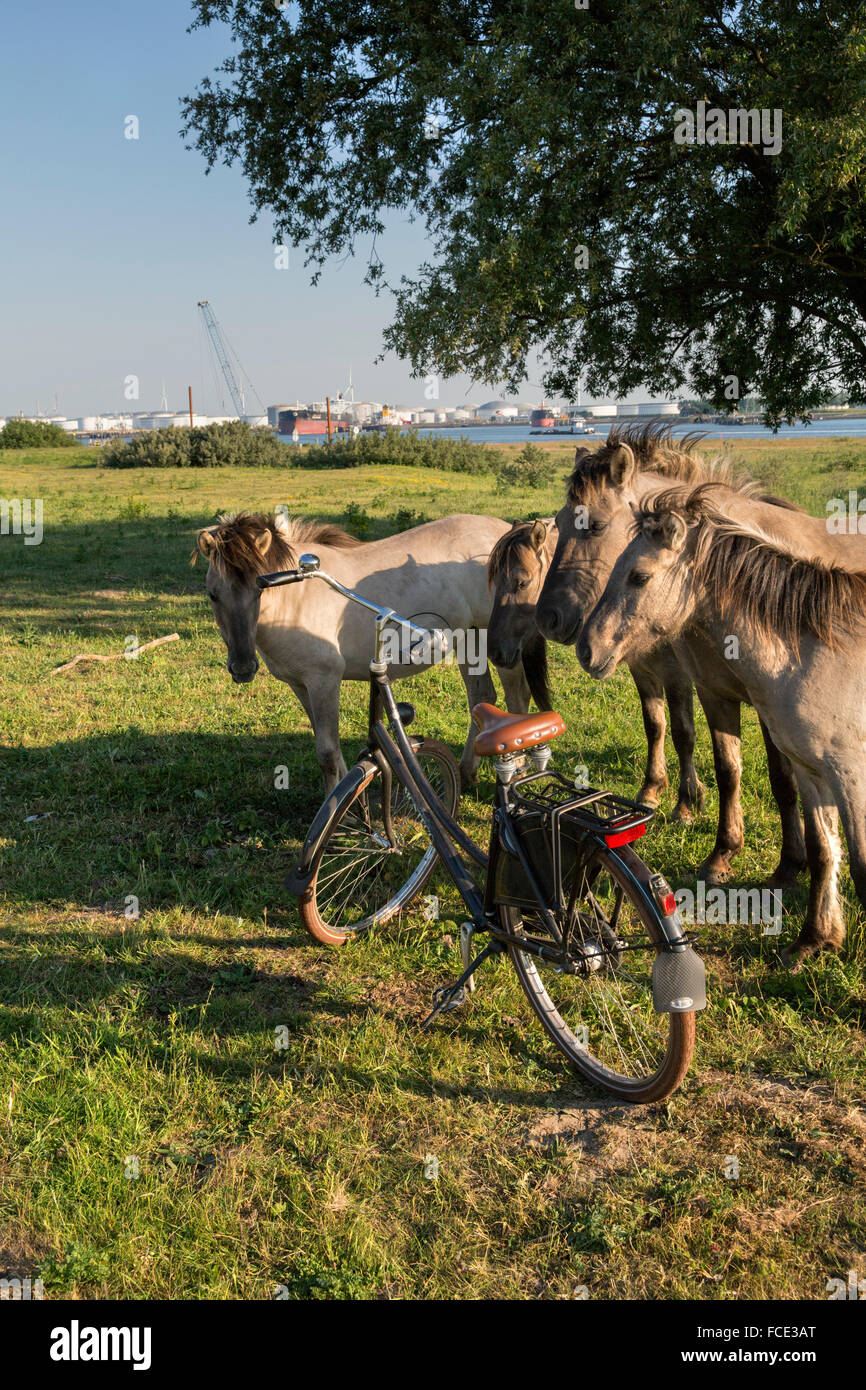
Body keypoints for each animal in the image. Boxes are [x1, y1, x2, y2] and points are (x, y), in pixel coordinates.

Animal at [195, 511, 539, 791]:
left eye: (259, 590)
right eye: (212, 594)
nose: (242, 667)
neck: (297, 597)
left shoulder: (324, 681)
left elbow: (327, 753)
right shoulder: (300, 685)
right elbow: (328, 746)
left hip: (500, 645)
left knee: (516, 696)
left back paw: (516, 767)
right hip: (469, 641)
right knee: (481, 697)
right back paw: (467, 773)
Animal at [488, 515, 706, 819]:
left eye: (521, 583)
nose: (495, 651)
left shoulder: (677, 676)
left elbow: (683, 734)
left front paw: (686, 802)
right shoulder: (643, 670)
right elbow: (654, 726)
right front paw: (651, 788)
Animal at [578, 484, 866, 966]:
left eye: (638, 577)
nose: (586, 648)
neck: (815, 651)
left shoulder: (851, 776)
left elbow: (859, 864)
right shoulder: (813, 773)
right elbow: (825, 852)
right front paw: (814, 940)